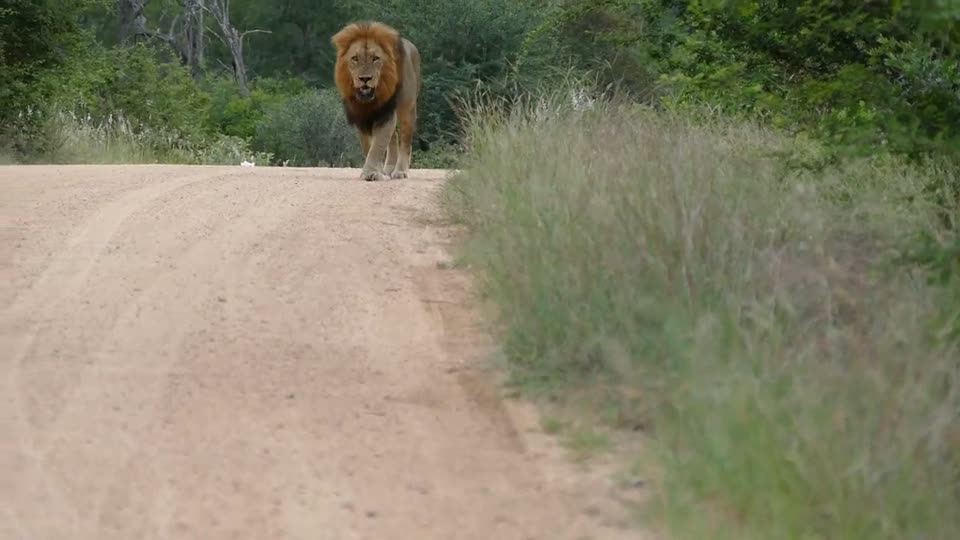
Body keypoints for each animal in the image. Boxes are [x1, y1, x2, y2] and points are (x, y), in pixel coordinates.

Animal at [331, 21, 422, 181]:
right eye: (355, 58)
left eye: (375, 58)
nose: (365, 79)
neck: (368, 101)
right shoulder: (361, 116)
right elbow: (369, 146)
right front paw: (377, 171)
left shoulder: (386, 112)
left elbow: (378, 144)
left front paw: (371, 173)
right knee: (394, 137)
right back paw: (389, 168)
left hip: (408, 108)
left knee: (405, 139)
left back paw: (400, 171)